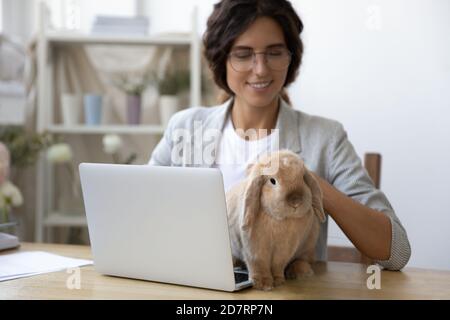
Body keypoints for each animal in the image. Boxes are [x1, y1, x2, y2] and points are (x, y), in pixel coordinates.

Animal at [227, 149, 326, 292]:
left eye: (303, 178)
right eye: (272, 181)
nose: (296, 201)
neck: (278, 219)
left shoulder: (285, 249)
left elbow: (278, 264)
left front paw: (278, 280)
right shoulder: (254, 250)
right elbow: (259, 264)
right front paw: (263, 284)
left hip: (309, 245)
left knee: (305, 259)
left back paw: (299, 272)